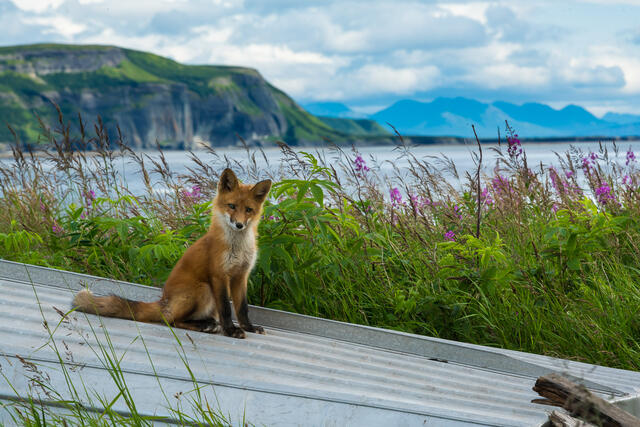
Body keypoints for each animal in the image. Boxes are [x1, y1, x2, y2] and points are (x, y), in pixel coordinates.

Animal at [72, 168, 271, 339]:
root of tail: (163, 301)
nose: (239, 225)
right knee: (172, 321)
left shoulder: (240, 275)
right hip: (203, 289)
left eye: (248, 210)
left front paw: (248, 327)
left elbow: (242, 308)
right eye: (231, 206)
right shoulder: (219, 275)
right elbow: (226, 309)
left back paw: (207, 322)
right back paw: (204, 325)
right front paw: (231, 330)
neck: (238, 247)